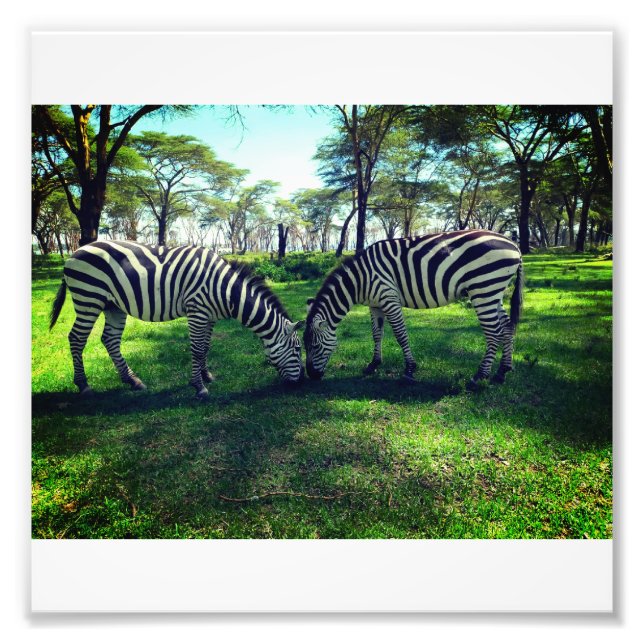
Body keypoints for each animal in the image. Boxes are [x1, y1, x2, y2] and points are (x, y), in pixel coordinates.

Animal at [49, 240, 305, 398]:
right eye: (297, 349)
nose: (301, 381)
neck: (224, 290)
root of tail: (75, 252)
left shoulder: (209, 316)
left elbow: (205, 347)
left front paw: (206, 376)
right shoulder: (197, 311)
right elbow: (196, 349)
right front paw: (199, 387)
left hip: (113, 305)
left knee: (109, 340)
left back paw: (133, 380)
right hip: (89, 298)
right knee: (76, 338)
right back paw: (83, 385)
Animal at [304, 229, 524, 387]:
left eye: (314, 346)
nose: (311, 376)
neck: (360, 279)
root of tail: (515, 245)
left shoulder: (388, 297)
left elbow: (400, 334)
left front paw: (409, 370)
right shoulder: (375, 305)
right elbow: (377, 334)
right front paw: (373, 365)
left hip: (483, 288)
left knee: (494, 332)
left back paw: (479, 377)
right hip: (493, 291)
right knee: (507, 327)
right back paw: (502, 372)